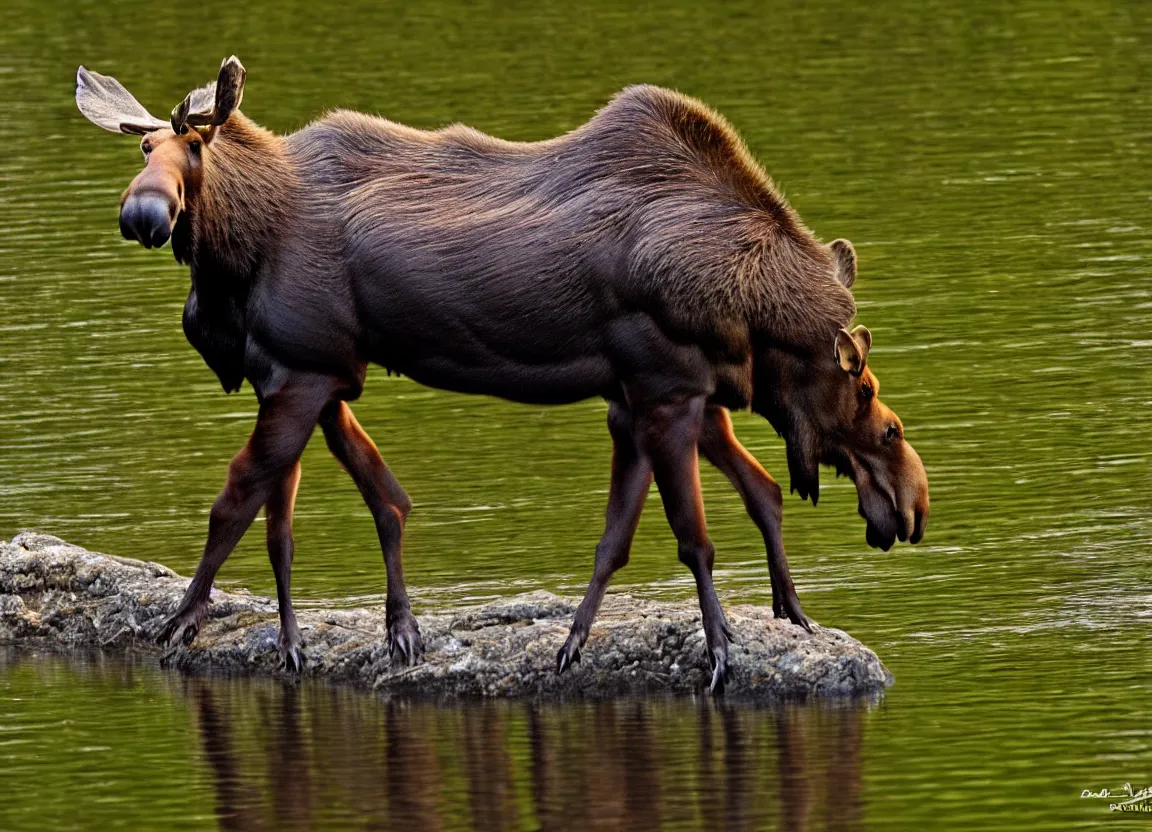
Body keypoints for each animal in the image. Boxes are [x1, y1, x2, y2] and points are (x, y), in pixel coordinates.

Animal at [76, 55, 926, 691]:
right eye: (884, 417)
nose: (913, 505)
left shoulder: (653, 398)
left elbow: (649, 530)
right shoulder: (664, 396)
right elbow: (690, 536)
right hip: (310, 373)